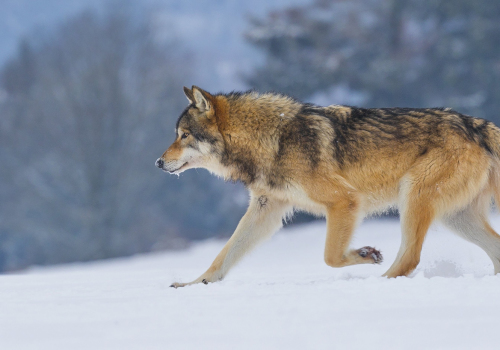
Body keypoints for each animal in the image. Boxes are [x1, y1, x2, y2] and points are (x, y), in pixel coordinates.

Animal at [156, 85, 500, 288]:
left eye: (184, 135)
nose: (158, 162)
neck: (272, 140)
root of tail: (475, 124)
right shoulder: (266, 210)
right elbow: (223, 255)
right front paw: (194, 284)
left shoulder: (344, 200)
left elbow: (330, 257)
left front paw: (365, 254)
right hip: (453, 217)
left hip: (413, 198)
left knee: (409, 259)